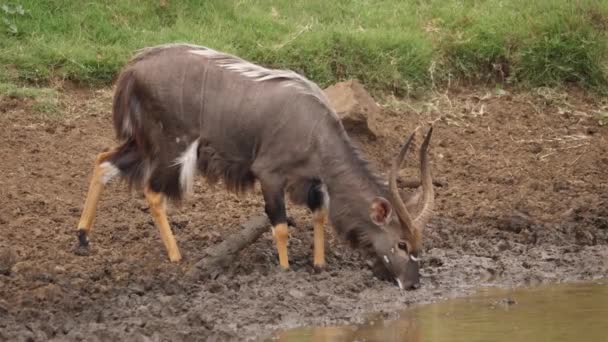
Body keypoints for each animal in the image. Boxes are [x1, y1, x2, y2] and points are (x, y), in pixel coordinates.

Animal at [76, 42, 434, 288]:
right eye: (402, 244)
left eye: (417, 245)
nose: (412, 284)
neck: (315, 130)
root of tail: (132, 68)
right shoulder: (269, 174)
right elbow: (280, 226)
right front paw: (286, 270)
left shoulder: (311, 182)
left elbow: (319, 214)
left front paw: (319, 265)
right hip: (171, 147)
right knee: (152, 192)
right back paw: (176, 256)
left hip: (142, 144)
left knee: (103, 161)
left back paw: (82, 238)